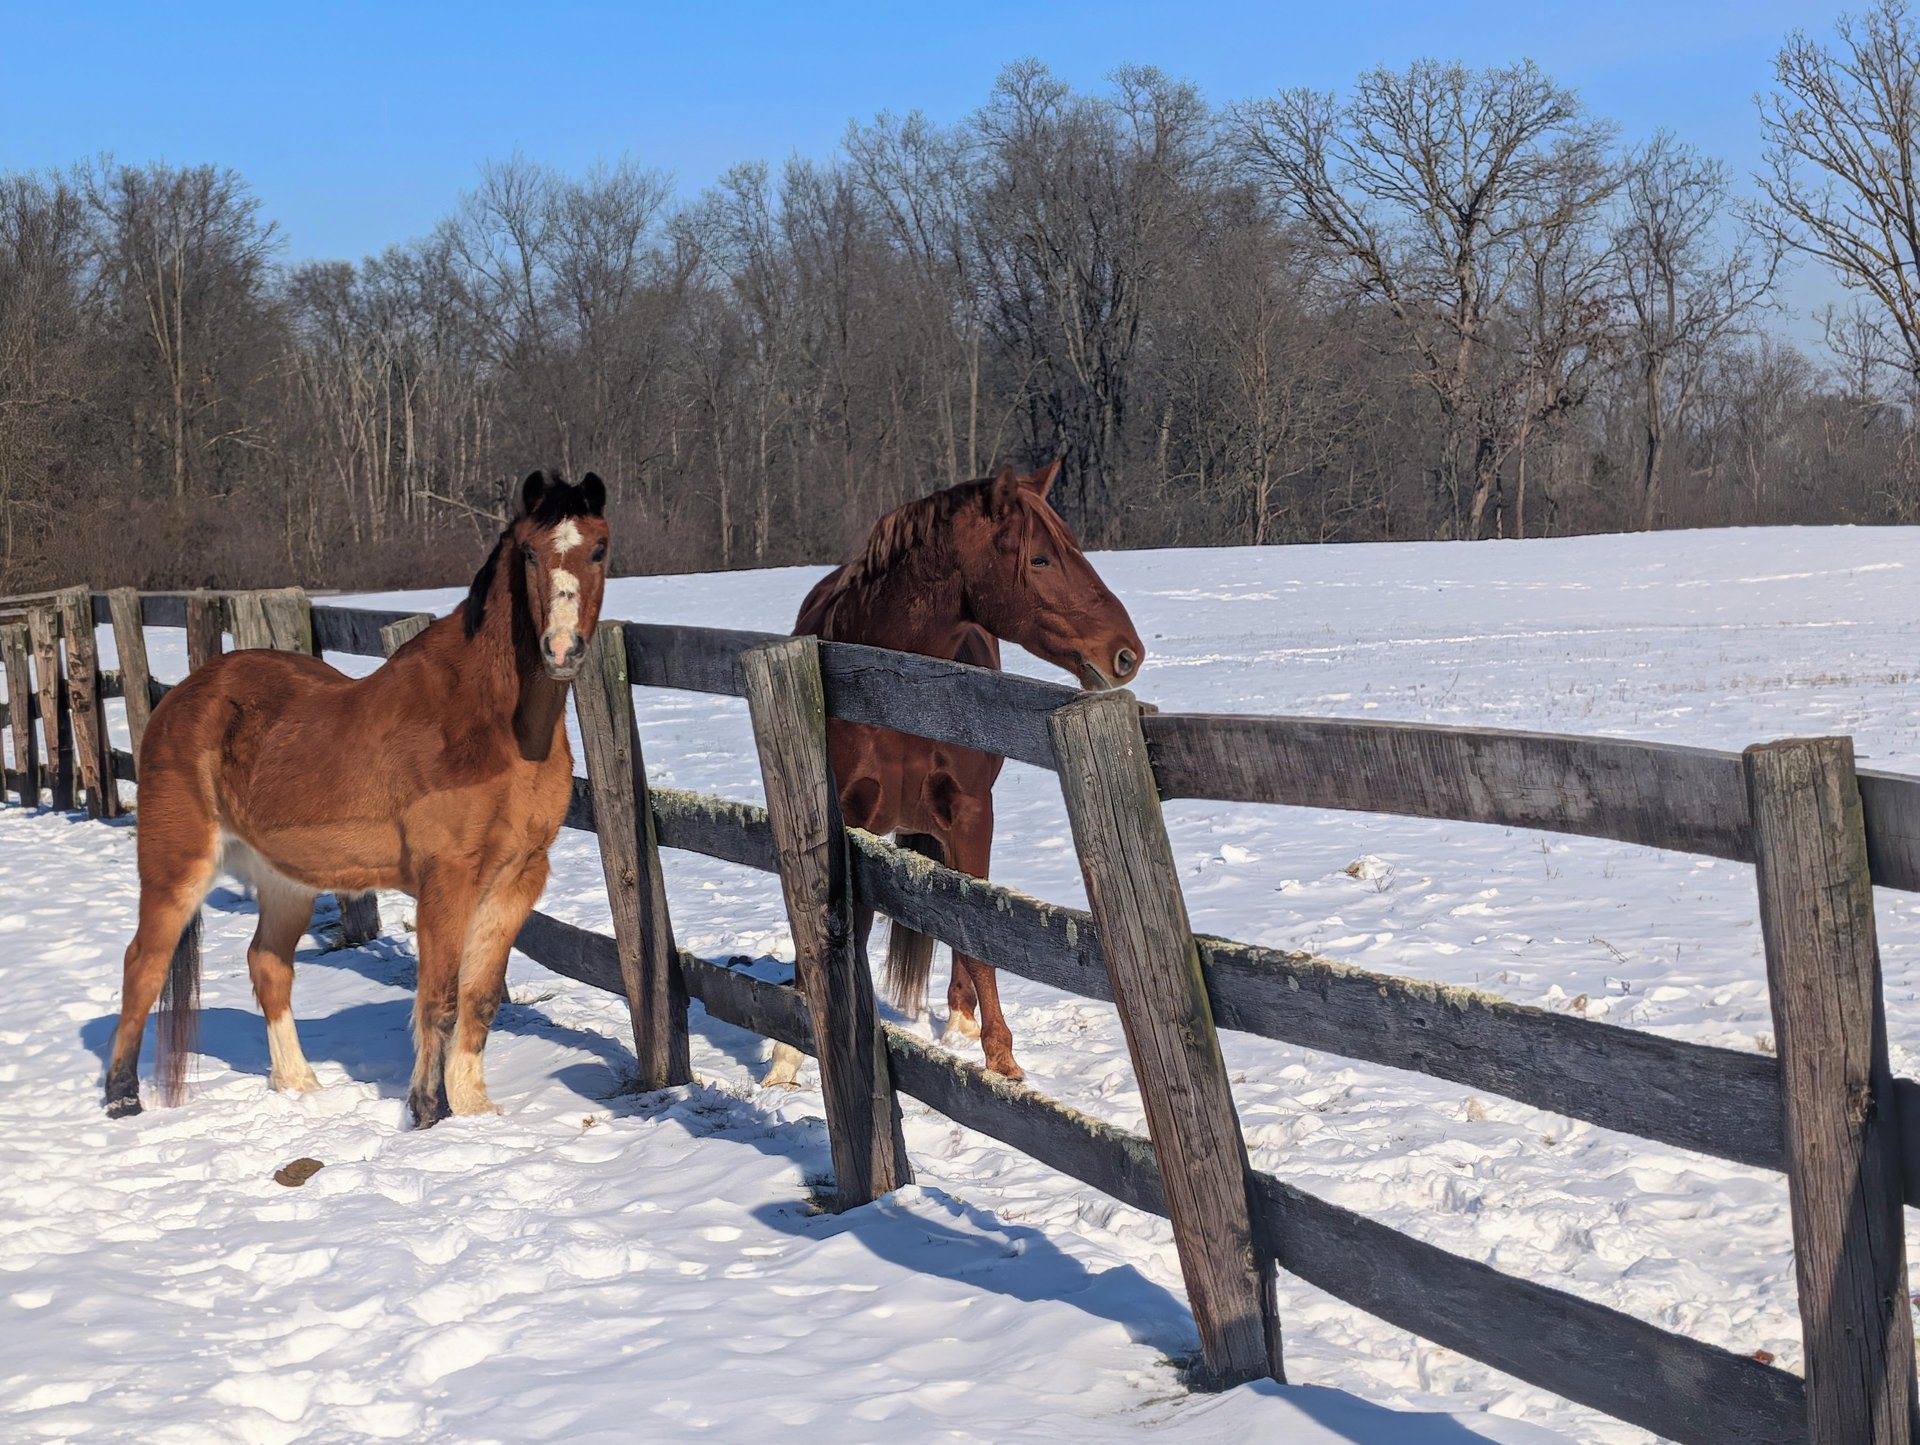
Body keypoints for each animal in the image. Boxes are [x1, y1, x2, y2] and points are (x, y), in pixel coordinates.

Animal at [104, 471, 611, 1128]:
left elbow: (478, 1000)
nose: (561, 649)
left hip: (286, 882)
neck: (497, 725)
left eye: (599, 549)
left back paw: (299, 1084)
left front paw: (473, 1110)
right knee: (143, 963)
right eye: (529, 553)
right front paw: (428, 1112)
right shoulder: (446, 879)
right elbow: (439, 998)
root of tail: (180, 698)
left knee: (267, 964)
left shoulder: (518, 879)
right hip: (177, 867)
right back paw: (122, 1097)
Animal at [764, 461, 1143, 1085]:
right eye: (1041, 558)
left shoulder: (968, 813)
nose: (1126, 653)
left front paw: (1000, 1057)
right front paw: (791, 1052)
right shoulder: (846, 818)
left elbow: (975, 927)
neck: (893, 681)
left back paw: (963, 1019)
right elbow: (837, 928)